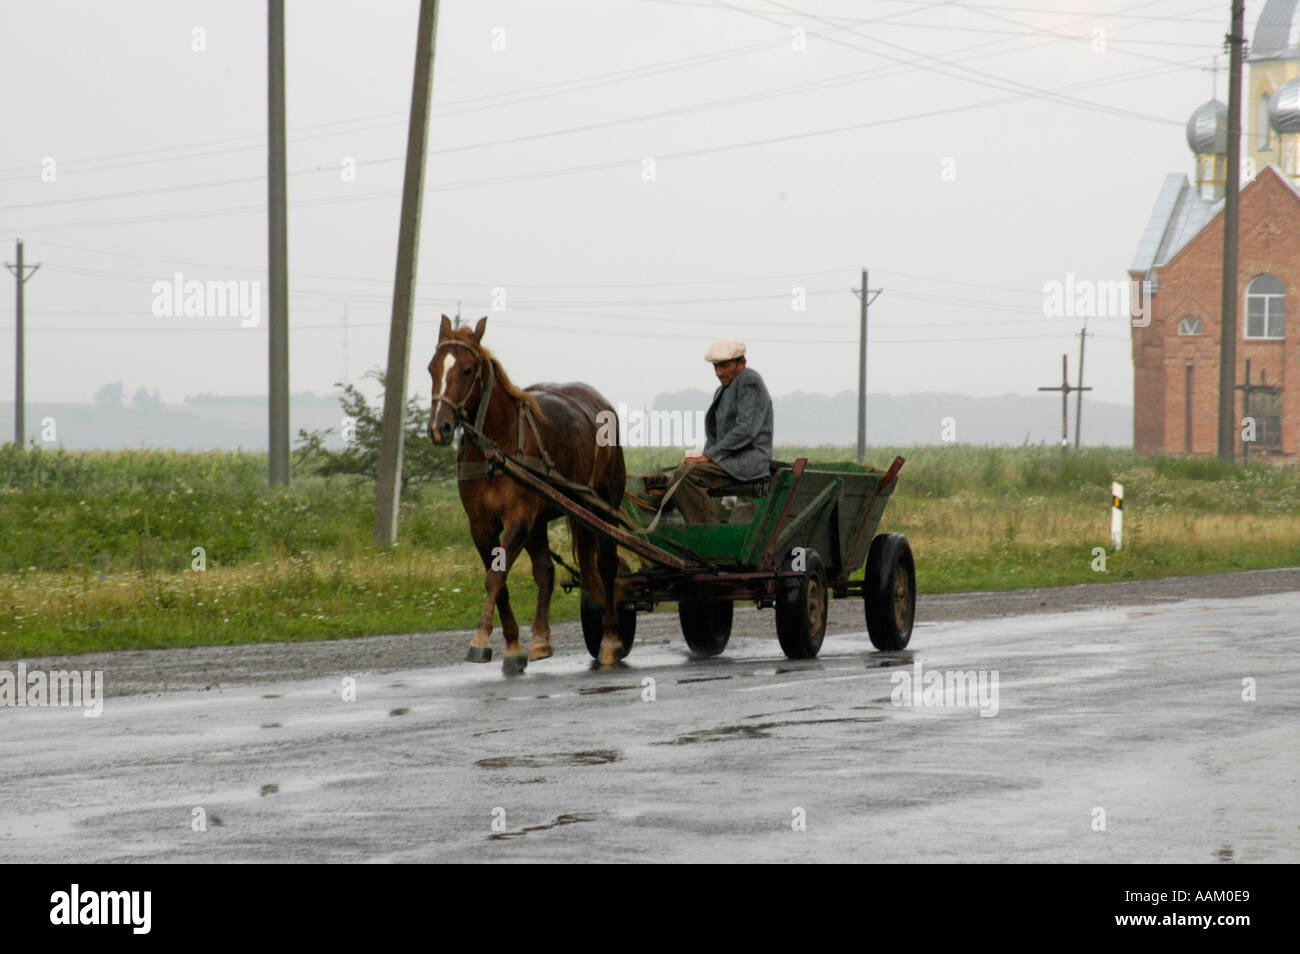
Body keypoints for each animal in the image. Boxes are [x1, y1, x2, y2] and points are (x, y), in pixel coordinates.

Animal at [428, 315, 626, 670]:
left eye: (467, 370)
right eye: (431, 368)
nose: (440, 428)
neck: (495, 451)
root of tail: (596, 400)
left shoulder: (518, 518)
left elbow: (496, 577)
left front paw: (480, 641)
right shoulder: (481, 525)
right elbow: (500, 580)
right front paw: (512, 646)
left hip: (604, 505)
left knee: (606, 566)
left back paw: (610, 641)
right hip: (542, 516)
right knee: (546, 570)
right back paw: (541, 639)